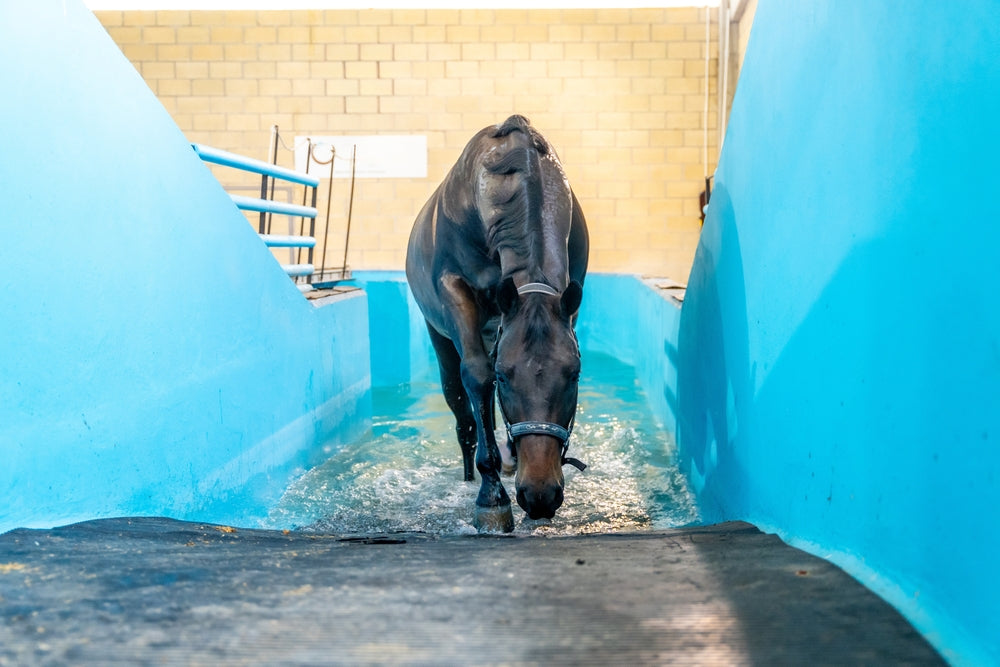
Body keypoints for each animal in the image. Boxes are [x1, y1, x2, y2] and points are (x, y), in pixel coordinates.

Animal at [405, 115, 589, 532]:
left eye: (573, 374)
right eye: (505, 377)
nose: (540, 494)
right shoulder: (455, 291)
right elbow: (477, 376)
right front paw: (492, 498)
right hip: (441, 337)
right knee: (464, 415)